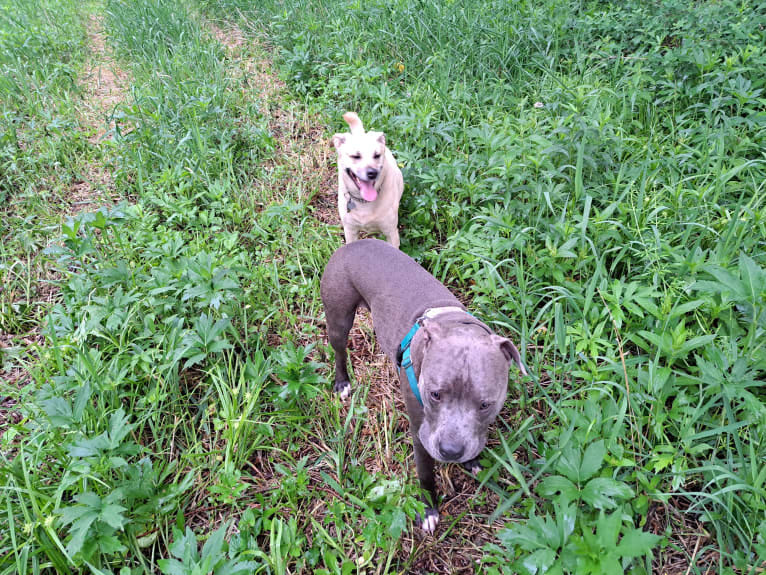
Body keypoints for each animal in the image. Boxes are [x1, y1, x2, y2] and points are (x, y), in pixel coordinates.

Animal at [320, 237, 528, 532]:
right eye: (435, 394)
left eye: (486, 404)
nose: (450, 451)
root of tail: (354, 244)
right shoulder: (421, 433)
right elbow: (426, 473)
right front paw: (429, 510)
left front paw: (472, 462)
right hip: (339, 315)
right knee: (339, 350)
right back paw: (342, 383)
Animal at [332, 112, 404, 248]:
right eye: (355, 156)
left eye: (377, 155)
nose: (372, 173)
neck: (364, 203)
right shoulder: (350, 231)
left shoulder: (391, 232)